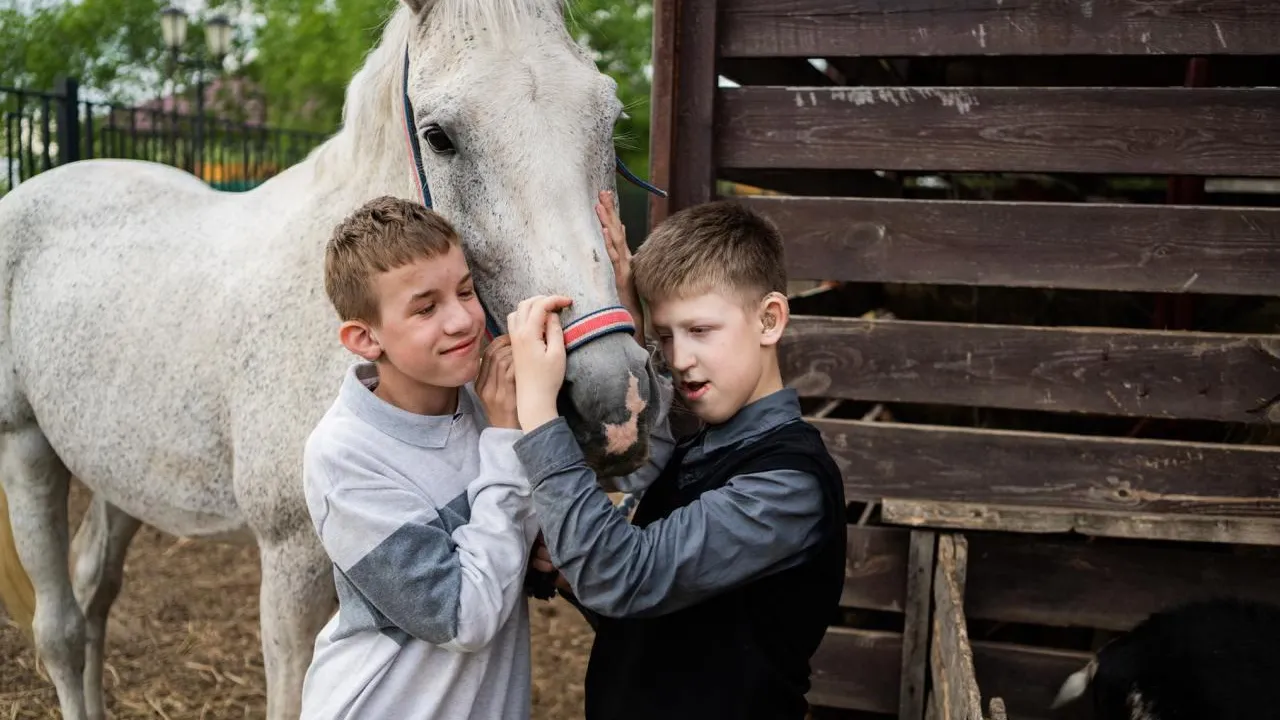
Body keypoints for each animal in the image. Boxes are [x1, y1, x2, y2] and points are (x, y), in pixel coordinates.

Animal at [0, 0, 665, 712]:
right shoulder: (290, 563)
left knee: (94, 589)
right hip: (27, 447)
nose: (615, 403)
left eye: (610, 121)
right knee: (61, 630)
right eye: (440, 136)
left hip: (119, 468)